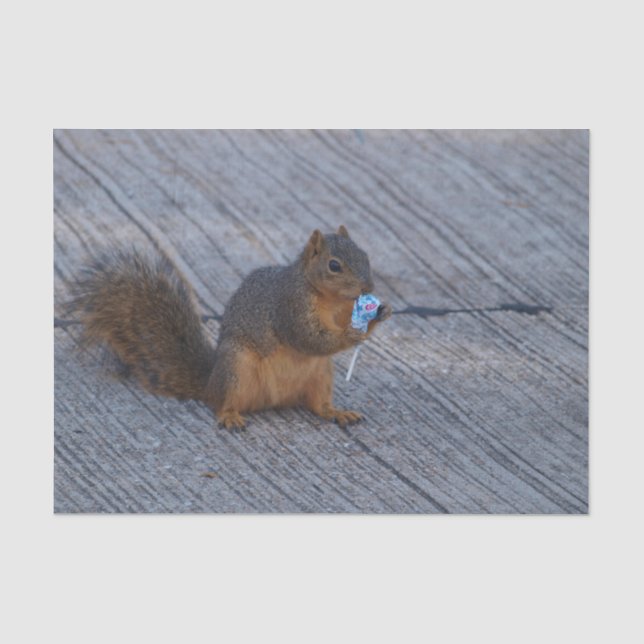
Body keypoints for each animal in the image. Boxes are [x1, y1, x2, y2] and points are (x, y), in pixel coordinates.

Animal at [69, 225, 392, 430]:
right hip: (236, 368)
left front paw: (379, 314)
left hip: (320, 374)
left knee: (318, 405)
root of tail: (210, 383)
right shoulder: (289, 307)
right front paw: (351, 333)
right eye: (334, 265)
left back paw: (337, 412)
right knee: (223, 403)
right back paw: (230, 417)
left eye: (365, 256)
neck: (328, 298)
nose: (368, 287)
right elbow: (308, 337)